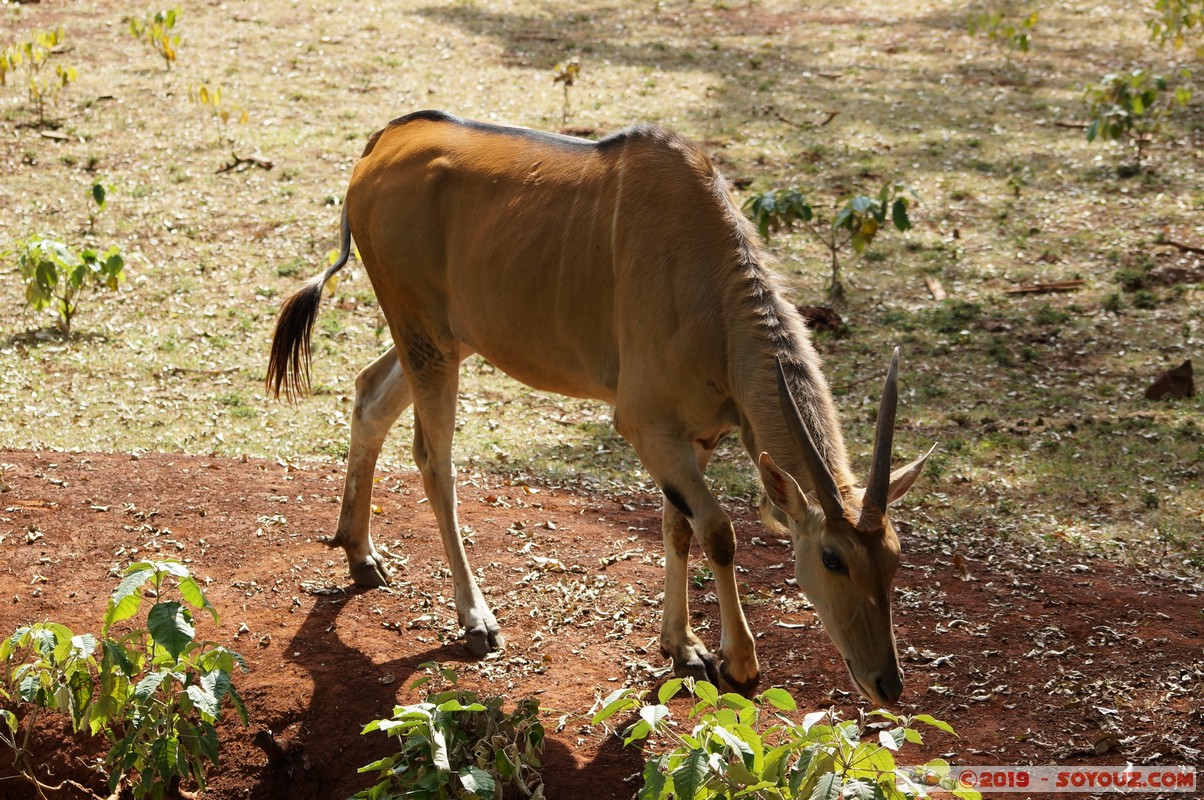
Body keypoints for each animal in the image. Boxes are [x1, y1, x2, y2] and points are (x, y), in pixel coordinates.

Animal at [268, 109, 934, 703]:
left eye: (895, 559)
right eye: (832, 558)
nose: (887, 684)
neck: (712, 291)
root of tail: (382, 143)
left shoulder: (695, 436)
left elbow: (678, 525)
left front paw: (682, 647)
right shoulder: (644, 424)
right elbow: (718, 530)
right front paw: (739, 663)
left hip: (445, 338)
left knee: (369, 396)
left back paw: (360, 554)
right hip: (427, 338)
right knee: (435, 461)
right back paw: (475, 618)